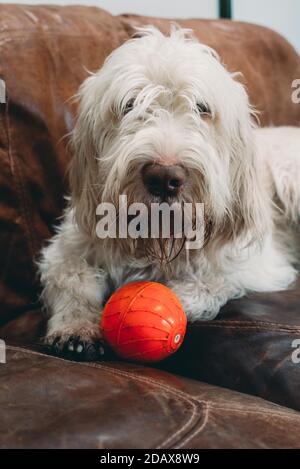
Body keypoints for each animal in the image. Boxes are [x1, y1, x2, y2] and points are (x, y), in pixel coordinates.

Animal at [38, 27, 300, 360]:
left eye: (202, 108)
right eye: (129, 104)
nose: (164, 178)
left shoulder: (255, 264)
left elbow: (212, 281)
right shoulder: (69, 245)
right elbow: (70, 276)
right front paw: (76, 326)